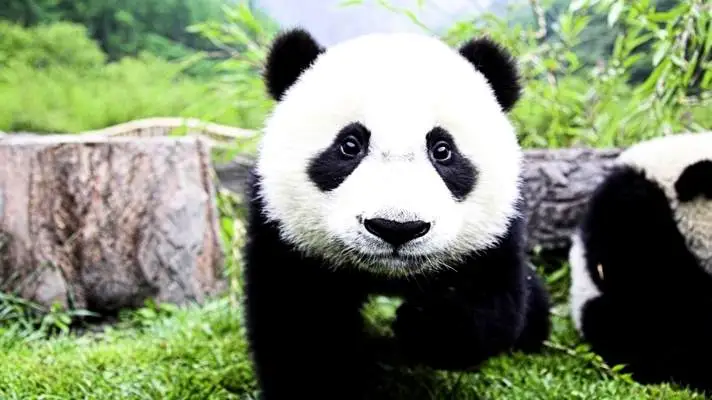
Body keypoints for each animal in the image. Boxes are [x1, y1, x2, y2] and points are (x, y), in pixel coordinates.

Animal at [243, 27, 552, 400]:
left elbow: (492, 300)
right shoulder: (282, 233)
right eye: (349, 145)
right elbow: (298, 325)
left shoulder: (496, 234)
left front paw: (426, 325)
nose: (397, 228)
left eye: (442, 150)